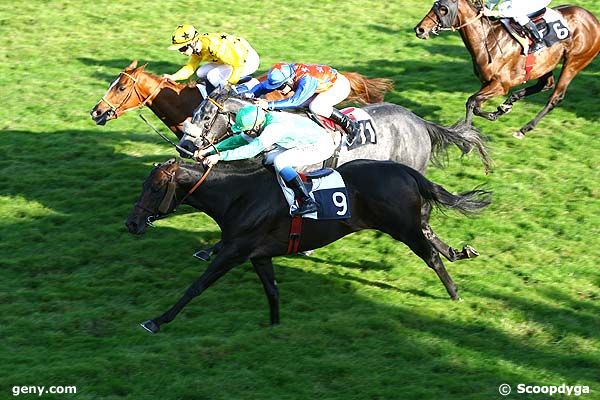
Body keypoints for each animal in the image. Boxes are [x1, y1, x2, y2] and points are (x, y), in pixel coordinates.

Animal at [126, 158, 492, 332]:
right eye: (144, 185)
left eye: (155, 189)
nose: (131, 223)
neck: (238, 196)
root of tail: (406, 171)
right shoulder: (258, 255)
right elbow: (272, 291)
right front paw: (274, 327)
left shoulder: (234, 252)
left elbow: (197, 286)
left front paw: (156, 320)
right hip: (413, 223)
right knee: (435, 241)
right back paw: (462, 253)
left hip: (403, 228)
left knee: (431, 256)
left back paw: (454, 293)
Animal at [414, 0, 596, 138]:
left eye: (443, 9)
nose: (419, 29)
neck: (486, 39)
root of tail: (593, 19)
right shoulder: (487, 82)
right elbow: (477, 104)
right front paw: (496, 113)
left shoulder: (501, 85)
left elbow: (471, 101)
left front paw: (466, 133)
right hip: (545, 64)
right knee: (546, 84)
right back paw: (509, 103)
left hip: (574, 62)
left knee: (556, 96)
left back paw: (524, 129)